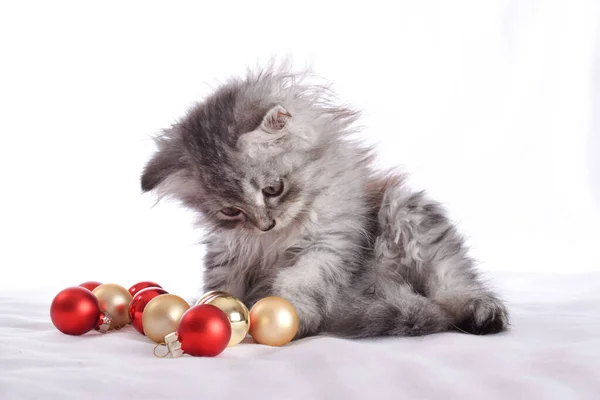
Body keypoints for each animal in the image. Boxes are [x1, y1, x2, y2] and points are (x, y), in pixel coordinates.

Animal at [141, 65, 506, 338]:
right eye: (231, 211)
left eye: (273, 189)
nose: (265, 225)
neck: (277, 240)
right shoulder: (227, 251)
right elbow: (222, 286)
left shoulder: (328, 245)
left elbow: (298, 282)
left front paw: (292, 317)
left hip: (408, 213)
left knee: (454, 279)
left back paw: (480, 312)